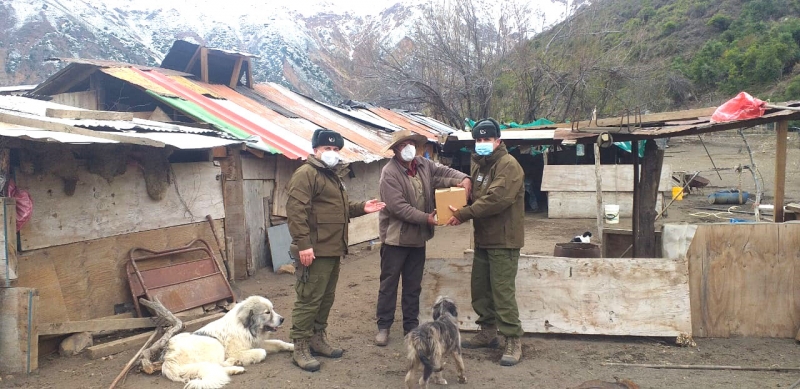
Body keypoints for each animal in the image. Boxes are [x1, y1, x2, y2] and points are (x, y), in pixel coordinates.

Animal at [159, 296, 294, 386]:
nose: (282, 319)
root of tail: (168, 360)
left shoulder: (257, 342)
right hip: (214, 343)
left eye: (273, 309)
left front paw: (292, 346)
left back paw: (235, 367)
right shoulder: (237, 351)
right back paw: (235, 365)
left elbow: (279, 343)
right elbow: (261, 352)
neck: (246, 328)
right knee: (216, 366)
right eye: (267, 312)